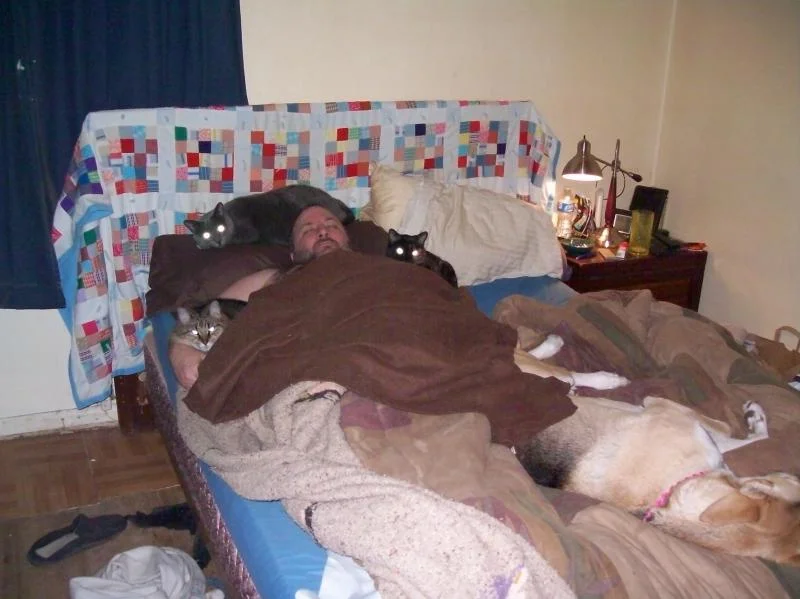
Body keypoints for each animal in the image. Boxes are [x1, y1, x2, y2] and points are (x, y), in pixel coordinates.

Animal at [184, 185, 355, 249]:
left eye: (220, 227)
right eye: (206, 234)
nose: (218, 240)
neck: (231, 218)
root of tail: (334, 200)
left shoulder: (247, 232)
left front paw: (200, 245)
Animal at [513, 335, 800, 565]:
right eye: (792, 478)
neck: (673, 490)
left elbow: (744, 439)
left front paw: (755, 421)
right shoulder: (665, 407)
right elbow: (729, 429)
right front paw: (755, 418)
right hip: (553, 375)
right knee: (558, 368)